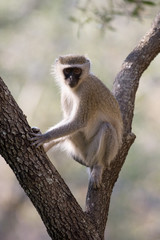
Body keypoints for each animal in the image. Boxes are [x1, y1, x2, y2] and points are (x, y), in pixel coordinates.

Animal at [30, 54, 123, 188]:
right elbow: (68, 120)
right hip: (81, 151)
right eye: (68, 70)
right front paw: (45, 145)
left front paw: (44, 137)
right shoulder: (65, 93)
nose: (71, 78)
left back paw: (99, 165)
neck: (78, 86)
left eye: (77, 71)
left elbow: (79, 122)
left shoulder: (87, 91)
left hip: (95, 153)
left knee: (107, 128)